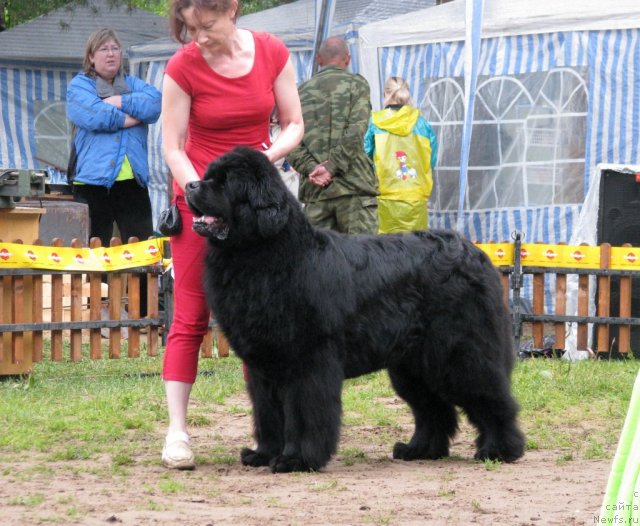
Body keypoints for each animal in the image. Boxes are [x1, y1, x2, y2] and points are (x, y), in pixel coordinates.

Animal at [185, 147, 524, 474]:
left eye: (226, 183)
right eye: (208, 176)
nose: (190, 185)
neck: (264, 255)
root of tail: (474, 252)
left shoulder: (307, 362)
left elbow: (302, 413)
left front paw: (296, 460)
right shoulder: (263, 367)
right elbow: (267, 414)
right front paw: (263, 454)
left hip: (459, 354)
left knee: (491, 398)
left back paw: (499, 450)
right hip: (412, 365)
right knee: (433, 408)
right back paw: (419, 449)